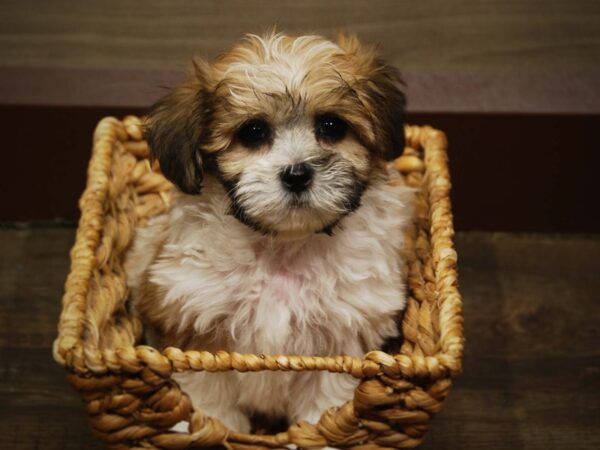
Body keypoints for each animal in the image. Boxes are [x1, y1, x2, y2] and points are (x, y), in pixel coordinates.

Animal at [126, 32, 412, 436]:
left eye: (332, 127)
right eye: (253, 132)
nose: (297, 174)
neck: (283, 246)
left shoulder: (341, 339)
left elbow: (325, 398)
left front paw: (320, 433)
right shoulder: (194, 323)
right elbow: (208, 390)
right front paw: (213, 426)